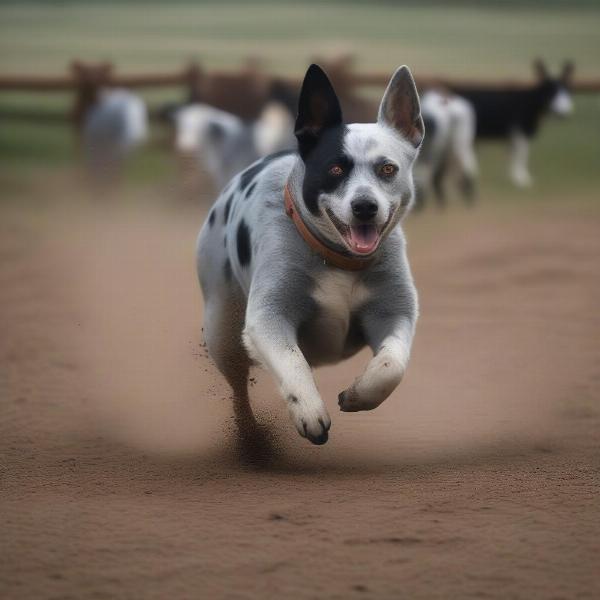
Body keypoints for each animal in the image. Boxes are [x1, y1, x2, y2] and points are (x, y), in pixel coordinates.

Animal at [197, 63, 422, 442]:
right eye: (335, 169)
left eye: (387, 169)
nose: (365, 206)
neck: (339, 260)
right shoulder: (269, 316)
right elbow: (291, 359)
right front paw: (309, 411)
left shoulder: (395, 311)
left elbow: (392, 365)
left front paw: (357, 395)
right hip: (221, 327)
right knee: (238, 384)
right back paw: (250, 434)